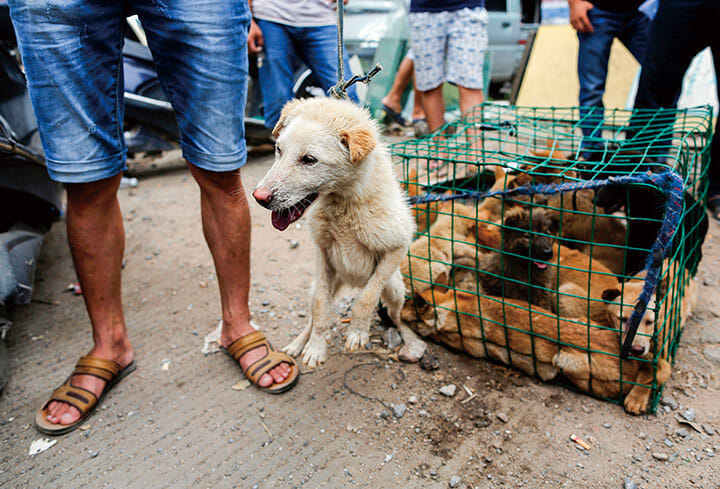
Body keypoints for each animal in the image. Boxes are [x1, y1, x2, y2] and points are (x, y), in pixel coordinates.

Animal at [252, 97, 424, 366]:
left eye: (309, 159)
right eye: (278, 149)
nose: (259, 198)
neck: (344, 202)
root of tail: (352, 281)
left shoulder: (396, 247)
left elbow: (366, 299)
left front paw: (357, 333)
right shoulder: (323, 255)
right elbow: (321, 308)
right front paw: (315, 347)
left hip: (396, 289)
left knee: (395, 315)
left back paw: (408, 337)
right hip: (319, 286)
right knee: (313, 314)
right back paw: (298, 343)